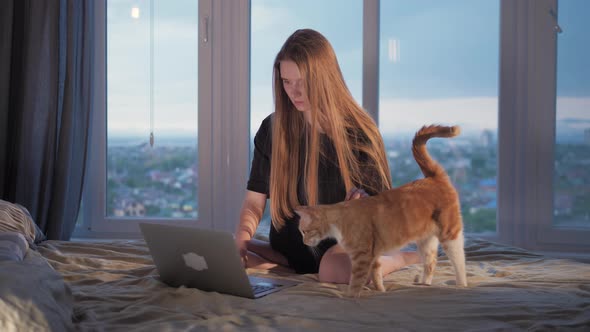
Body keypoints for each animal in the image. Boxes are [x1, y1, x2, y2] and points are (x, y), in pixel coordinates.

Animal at [298, 126, 470, 296]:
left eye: (305, 231)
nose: (304, 242)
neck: (340, 219)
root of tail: (433, 177)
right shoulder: (374, 256)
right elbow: (376, 276)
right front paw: (381, 291)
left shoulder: (362, 257)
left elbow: (356, 282)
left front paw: (350, 297)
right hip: (426, 241)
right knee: (431, 263)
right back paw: (424, 284)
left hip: (449, 234)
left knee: (459, 261)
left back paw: (461, 285)